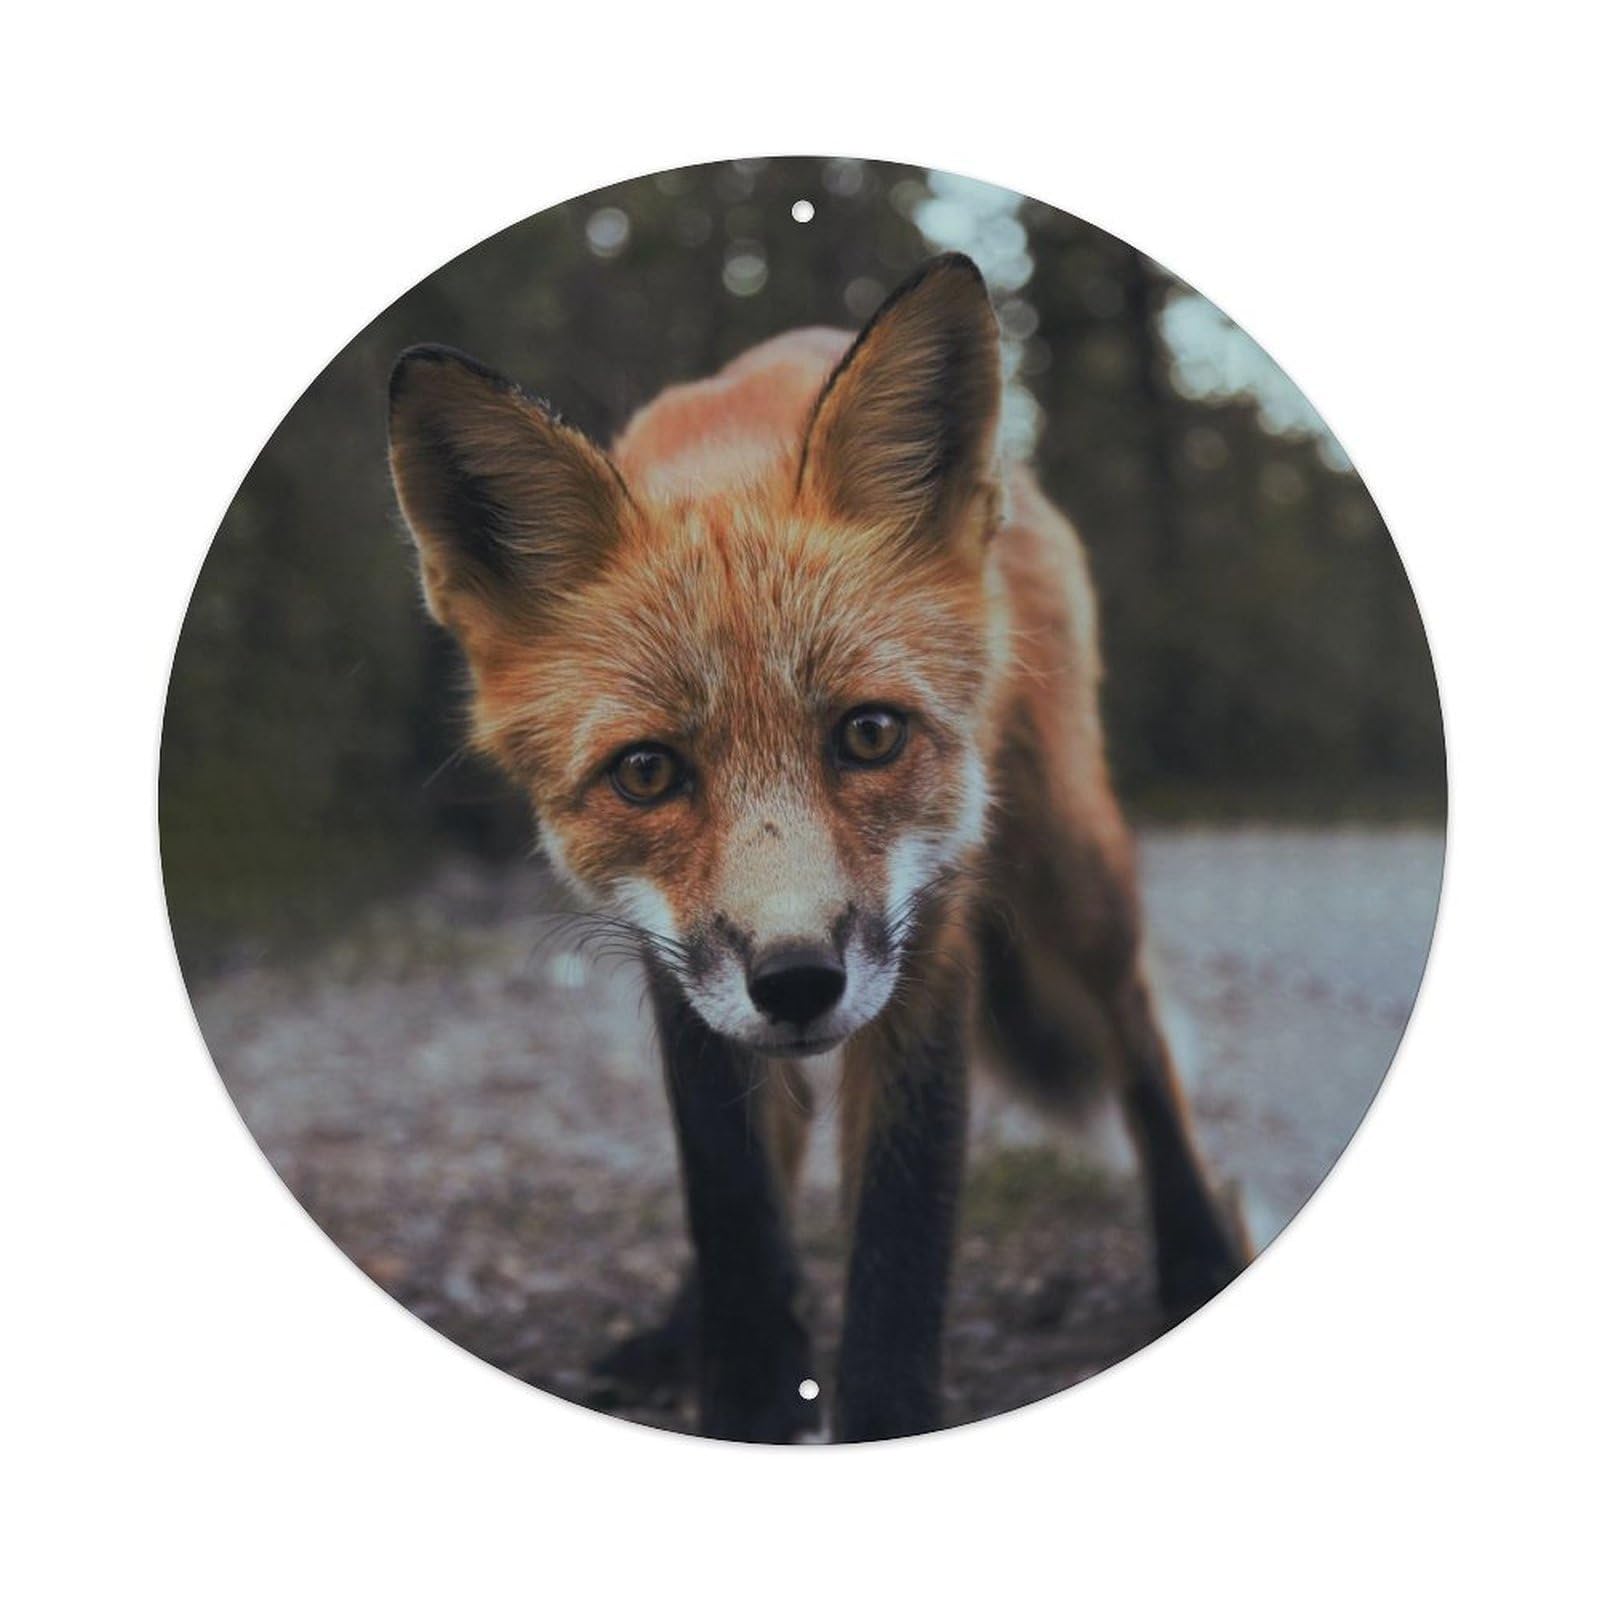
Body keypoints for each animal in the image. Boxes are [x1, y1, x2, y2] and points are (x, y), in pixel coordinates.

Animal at [387, 252, 1247, 1443]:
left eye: (870, 734)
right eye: (646, 772)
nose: (797, 981)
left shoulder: (929, 938)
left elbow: (900, 1237)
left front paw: (878, 1411)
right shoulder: (677, 967)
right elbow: (733, 1203)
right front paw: (747, 1389)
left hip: (1070, 866)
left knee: (1138, 1036)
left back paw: (1199, 1249)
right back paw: (682, 1328)